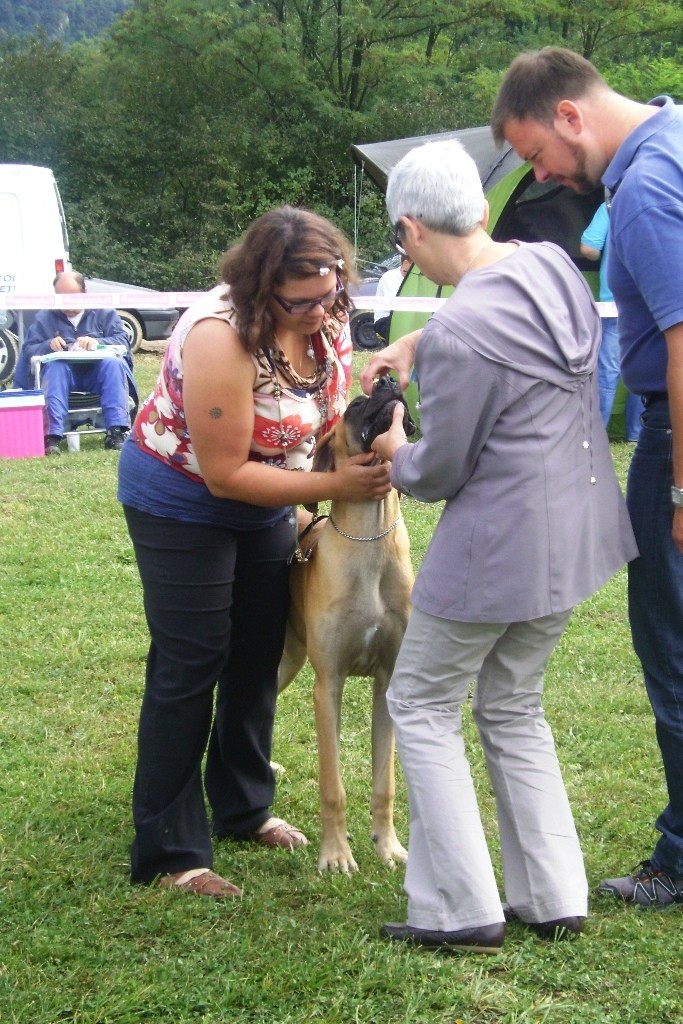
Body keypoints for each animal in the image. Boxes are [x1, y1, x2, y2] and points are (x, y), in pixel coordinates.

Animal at [278, 376, 417, 872]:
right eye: (357, 403)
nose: (390, 379)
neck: (369, 537)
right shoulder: (329, 684)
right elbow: (332, 785)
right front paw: (336, 854)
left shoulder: (388, 680)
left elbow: (385, 783)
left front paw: (388, 846)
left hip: (288, 660)